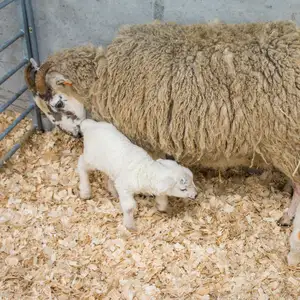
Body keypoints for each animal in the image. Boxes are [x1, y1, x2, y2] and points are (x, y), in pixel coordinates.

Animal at [24, 20, 300, 260]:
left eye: (57, 103)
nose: (75, 135)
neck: (101, 76)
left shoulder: (142, 137)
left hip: (285, 143)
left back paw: (287, 218)